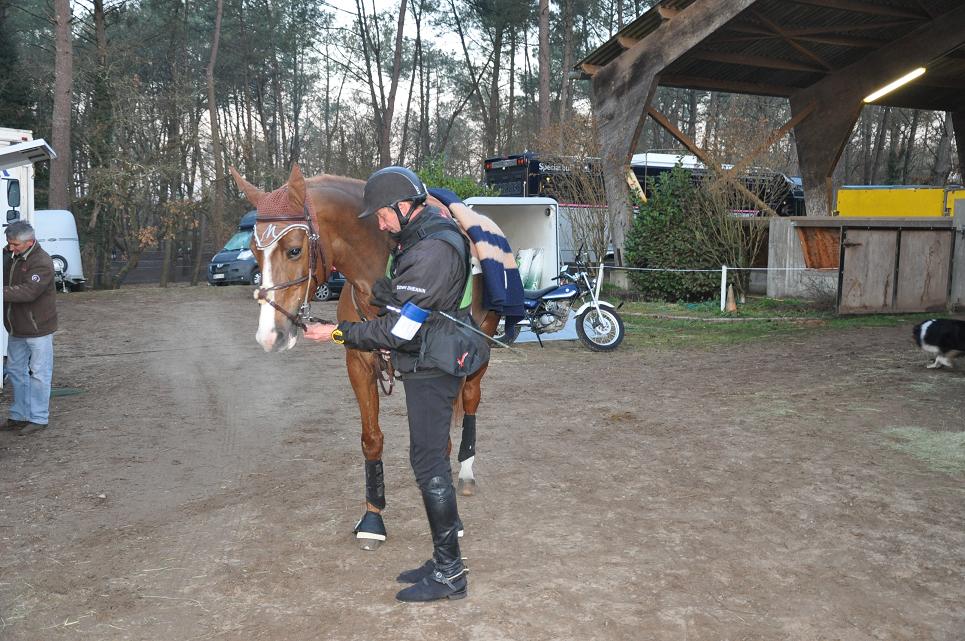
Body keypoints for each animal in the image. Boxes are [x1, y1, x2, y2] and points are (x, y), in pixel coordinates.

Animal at [227, 164, 498, 552]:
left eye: (294, 250)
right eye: (252, 250)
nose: (269, 335)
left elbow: (438, 439)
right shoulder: (359, 364)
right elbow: (372, 440)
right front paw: (373, 518)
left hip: (481, 350)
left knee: (471, 401)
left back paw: (465, 472)